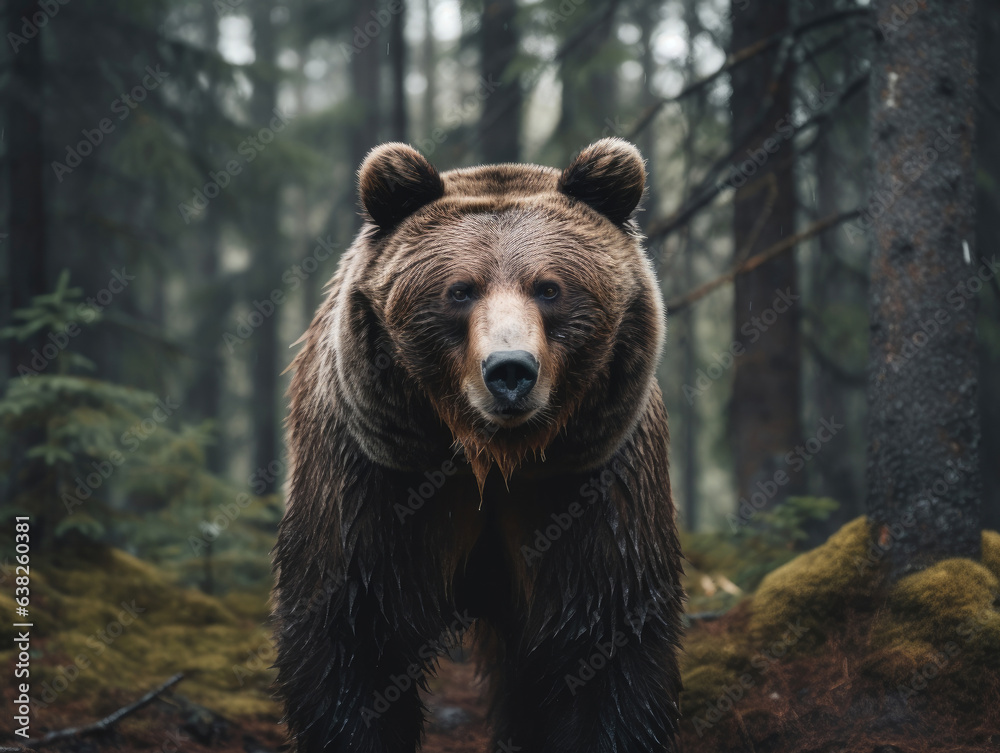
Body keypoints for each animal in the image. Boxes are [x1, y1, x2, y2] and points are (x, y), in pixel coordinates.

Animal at [272, 137, 684, 753]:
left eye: (549, 288)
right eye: (460, 290)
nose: (510, 370)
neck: (491, 460)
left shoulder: (588, 485)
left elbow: (605, 641)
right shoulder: (374, 480)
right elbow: (352, 635)